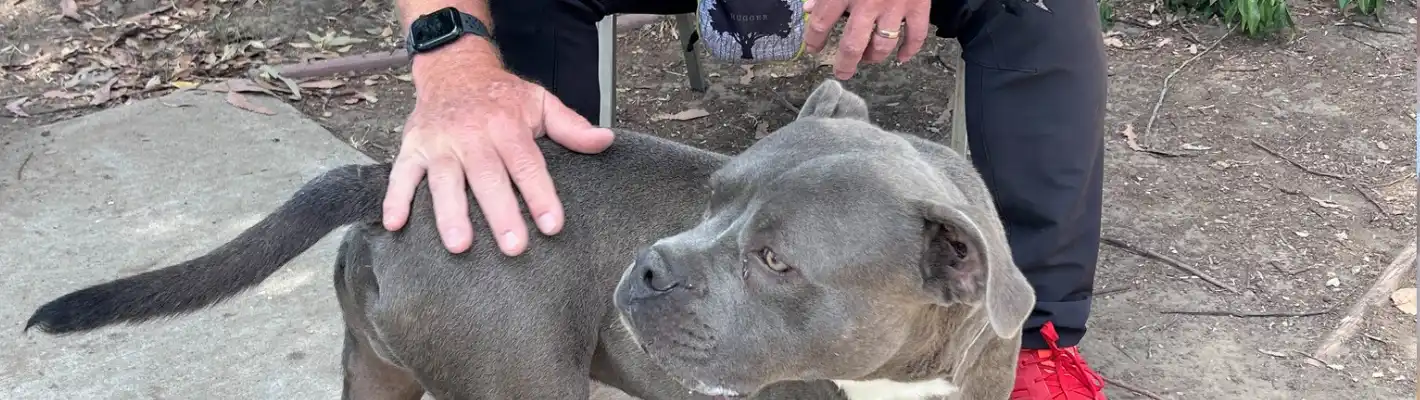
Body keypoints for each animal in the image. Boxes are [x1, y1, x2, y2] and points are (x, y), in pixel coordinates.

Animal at [27, 80, 1039, 400]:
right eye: (709, 201)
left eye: (775, 261)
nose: (647, 266)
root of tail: (390, 179)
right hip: (522, 382)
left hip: (377, 373)